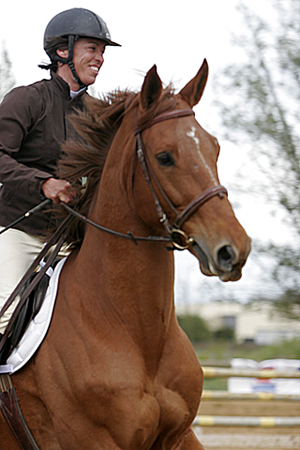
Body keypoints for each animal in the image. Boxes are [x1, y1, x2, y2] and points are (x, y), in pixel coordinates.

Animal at [0, 60, 251, 450]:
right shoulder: (98, 441)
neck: (139, 334)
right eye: (165, 157)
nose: (233, 249)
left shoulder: (178, 436)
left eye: (215, 149)